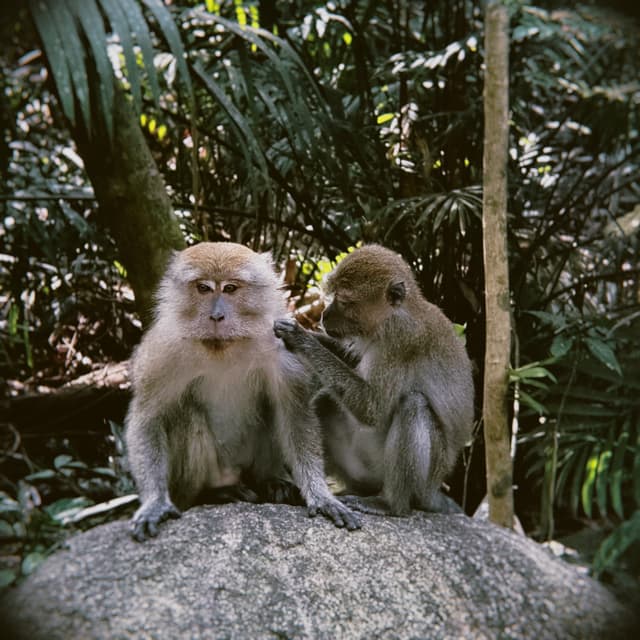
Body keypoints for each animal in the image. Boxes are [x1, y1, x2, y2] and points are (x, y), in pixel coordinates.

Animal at [125, 242, 361, 541]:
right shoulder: (163, 352)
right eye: (203, 288)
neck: (223, 345)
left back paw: (269, 481)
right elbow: (148, 418)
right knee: (186, 413)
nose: (216, 316)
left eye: (230, 288)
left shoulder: (280, 345)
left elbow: (294, 413)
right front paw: (155, 503)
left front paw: (320, 496)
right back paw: (214, 493)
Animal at [274, 244, 474, 517]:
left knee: (413, 406)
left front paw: (300, 338)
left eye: (344, 301)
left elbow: (372, 408)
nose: (324, 314)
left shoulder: (400, 339)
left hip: (428, 477)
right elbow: (350, 359)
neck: (391, 316)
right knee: (325, 401)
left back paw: (390, 504)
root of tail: (435, 491)